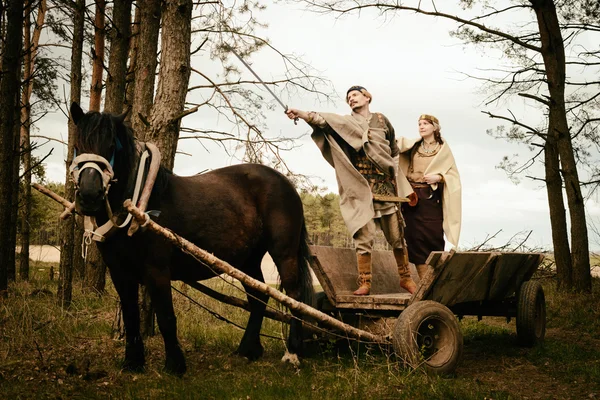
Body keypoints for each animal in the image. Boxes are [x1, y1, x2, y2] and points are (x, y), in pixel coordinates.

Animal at [69, 102, 314, 376]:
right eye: (78, 144)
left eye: (112, 146)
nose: (89, 196)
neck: (139, 206)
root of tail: (286, 183)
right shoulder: (120, 272)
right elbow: (131, 316)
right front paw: (133, 362)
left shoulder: (157, 270)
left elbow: (166, 317)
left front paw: (175, 364)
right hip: (248, 260)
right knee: (258, 297)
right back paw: (247, 350)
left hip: (284, 252)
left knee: (294, 296)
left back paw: (291, 353)